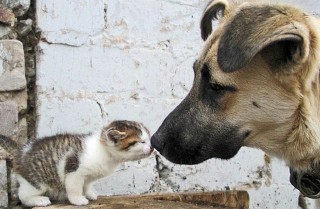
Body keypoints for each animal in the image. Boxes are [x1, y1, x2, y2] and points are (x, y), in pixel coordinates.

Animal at [0, 120, 154, 207]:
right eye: (141, 142)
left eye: (148, 139)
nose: (152, 147)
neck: (104, 151)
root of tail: (21, 151)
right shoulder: (74, 170)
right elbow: (74, 188)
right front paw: (78, 200)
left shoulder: (89, 176)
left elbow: (87, 185)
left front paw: (89, 193)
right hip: (36, 181)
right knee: (23, 195)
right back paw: (38, 200)